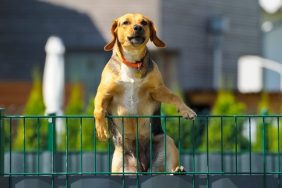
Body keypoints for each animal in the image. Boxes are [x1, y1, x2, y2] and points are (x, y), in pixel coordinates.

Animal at [94, 12, 196, 173]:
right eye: (125, 22)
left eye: (144, 22)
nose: (138, 27)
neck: (132, 61)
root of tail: (143, 166)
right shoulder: (103, 93)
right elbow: (98, 110)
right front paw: (101, 130)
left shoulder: (158, 90)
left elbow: (175, 97)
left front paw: (187, 111)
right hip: (119, 163)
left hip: (167, 142)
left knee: (168, 170)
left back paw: (178, 170)